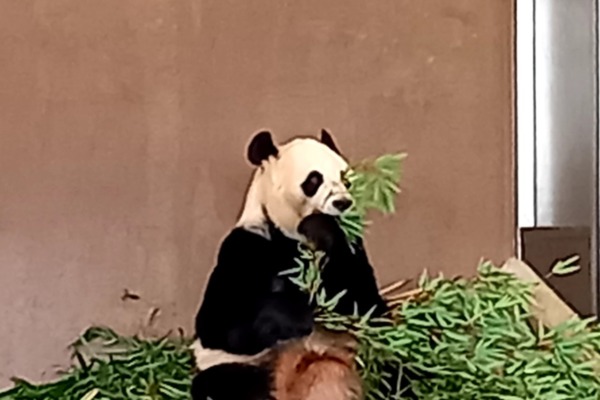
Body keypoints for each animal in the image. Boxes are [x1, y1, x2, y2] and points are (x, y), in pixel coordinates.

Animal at [191, 129, 389, 400]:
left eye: (346, 180)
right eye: (313, 180)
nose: (342, 203)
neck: (294, 239)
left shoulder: (352, 247)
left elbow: (365, 301)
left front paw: (322, 228)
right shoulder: (245, 247)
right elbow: (219, 322)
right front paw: (298, 315)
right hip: (244, 367)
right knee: (221, 382)